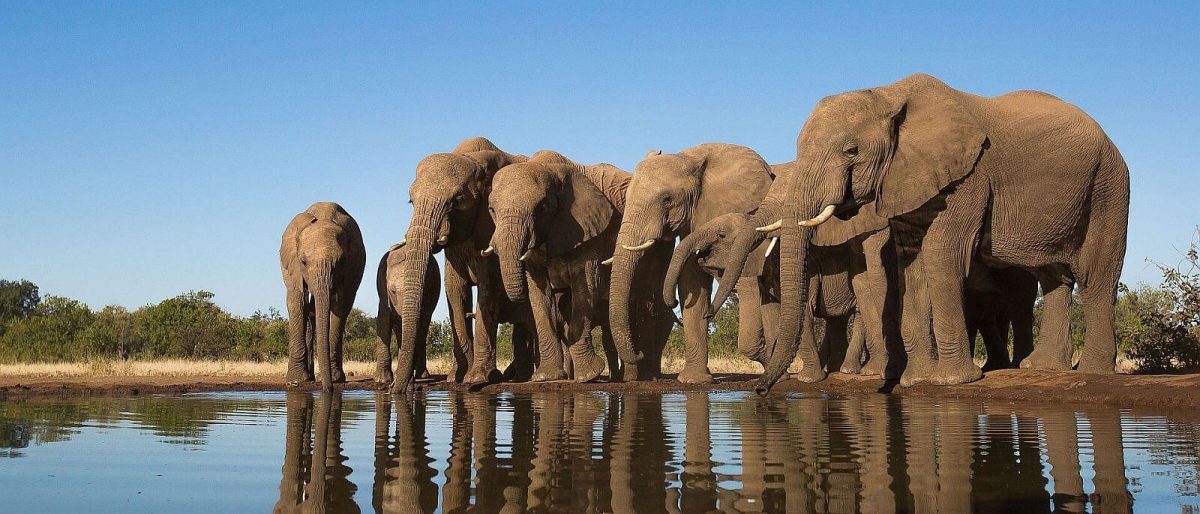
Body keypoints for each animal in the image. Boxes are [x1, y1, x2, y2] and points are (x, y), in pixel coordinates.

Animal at [279, 202, 366, 390]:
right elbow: (297, 301)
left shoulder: (352, 268)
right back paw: (308, 378)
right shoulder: (293, 266)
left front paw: (336, 379)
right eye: (303, 262)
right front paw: (295, 381)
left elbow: (340, 306)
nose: (328, 389)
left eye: (341, 262)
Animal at [374, 244, 440, 384]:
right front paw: (382, 380)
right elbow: (384, 320)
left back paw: (422, 375)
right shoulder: (382, 287)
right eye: (393, 292)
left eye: (423, 291)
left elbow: (421, 325)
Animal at [392, 137, 539, 393]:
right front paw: (456, 378)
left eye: (458, 201)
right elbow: (455, 291)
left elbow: (487, 288)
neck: (473, 161)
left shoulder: (491, 227)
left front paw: (478, 378)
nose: (402, 390)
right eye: (411, 201)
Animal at [487, 150, 628, 382]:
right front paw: (547, 377)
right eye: (491, 210)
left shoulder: (586, 231)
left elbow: (585, 286)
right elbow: (538, 293)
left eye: (542, 207)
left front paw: (588, 376)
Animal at [721, 74, 1129, 392]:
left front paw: (952, 381)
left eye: (851, 150)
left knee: (1096, 275)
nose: (760, 390)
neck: (888, 94)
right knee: (1054, 276)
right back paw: (1042, 367)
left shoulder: (969, 175)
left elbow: (941, 254)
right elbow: (911, 266)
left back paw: (1094, 371)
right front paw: (916, 381)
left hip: (1109, 186)